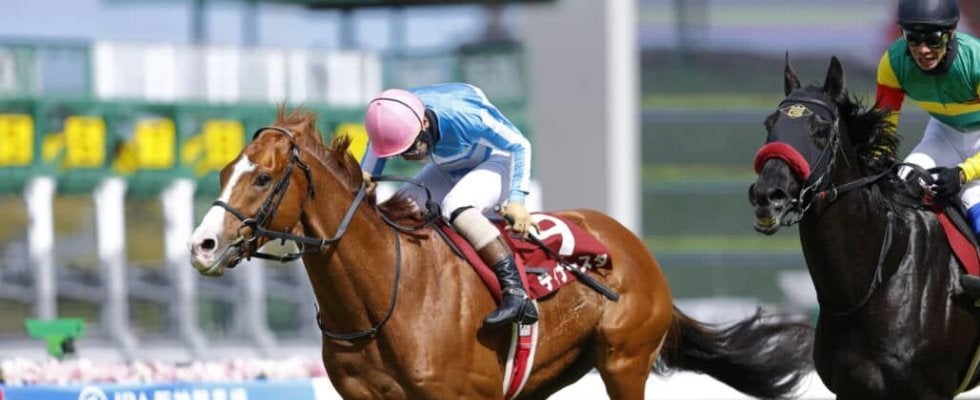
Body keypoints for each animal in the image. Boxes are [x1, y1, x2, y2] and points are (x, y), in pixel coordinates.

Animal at [188, 107, 813, 400]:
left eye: (263, 178)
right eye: (223, 172)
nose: (202, 245)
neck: (384, 298)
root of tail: (633, 244)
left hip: (624, 360)